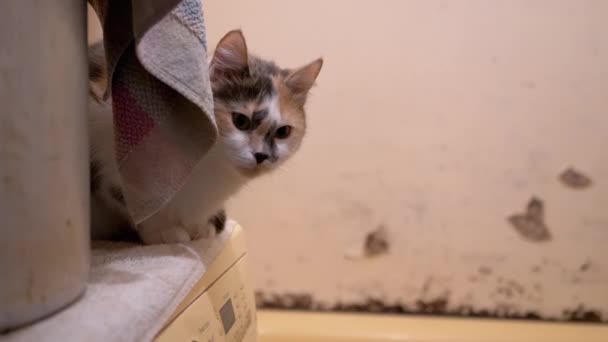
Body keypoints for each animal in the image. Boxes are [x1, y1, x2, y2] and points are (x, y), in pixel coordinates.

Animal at [89, 29, 324, 243]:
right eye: (240, 121)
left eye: (283, 132)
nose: (261, 156)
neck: (210, 167)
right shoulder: (112, 154)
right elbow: (136, 202)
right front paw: (164, 233)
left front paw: (201, 228)